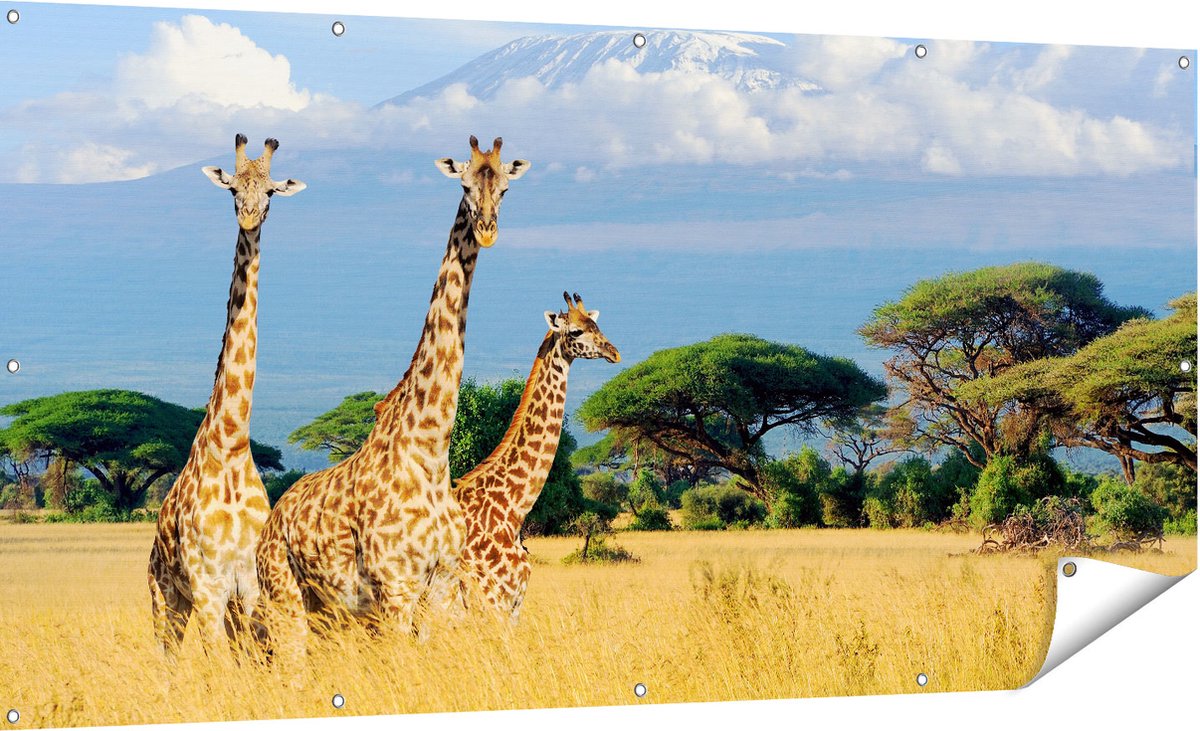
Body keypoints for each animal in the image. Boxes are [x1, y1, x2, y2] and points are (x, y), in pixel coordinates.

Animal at [148, 134, 306, 661]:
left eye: (272, 192)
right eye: (233, 188)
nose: (250, 217)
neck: (233, 443)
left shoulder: (250, 587)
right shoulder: (208, 586)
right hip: (165, 597)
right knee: (168, 658)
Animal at [255, 136, 530, 658]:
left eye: (506, 187)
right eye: (465, 185)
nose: (487, 231)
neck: (430, 451)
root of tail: (272, 520)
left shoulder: (441, 587)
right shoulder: (396, 589)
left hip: (331, 613)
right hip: (286, 597)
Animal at [453, 292, 619, 621]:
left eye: (597, 324)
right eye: (576, 332)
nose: (614, 352)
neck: (512, 509)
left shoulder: (513, 605)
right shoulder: (494, 601)